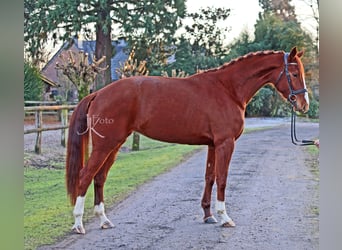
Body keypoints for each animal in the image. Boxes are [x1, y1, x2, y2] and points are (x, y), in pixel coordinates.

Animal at [66, 47, 310, 234]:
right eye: (294, 73)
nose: (304, 105)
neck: (228, 89)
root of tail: (98, 93)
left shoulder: (213, 144)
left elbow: (210, 177)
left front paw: (208, 215)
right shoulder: (226, 143)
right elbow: (222, 178)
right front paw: (224, 217)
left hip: (114, 145)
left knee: (100, 178)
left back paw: (104, 220)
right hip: (105, 145)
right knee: (85, 176)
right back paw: (78, 224)